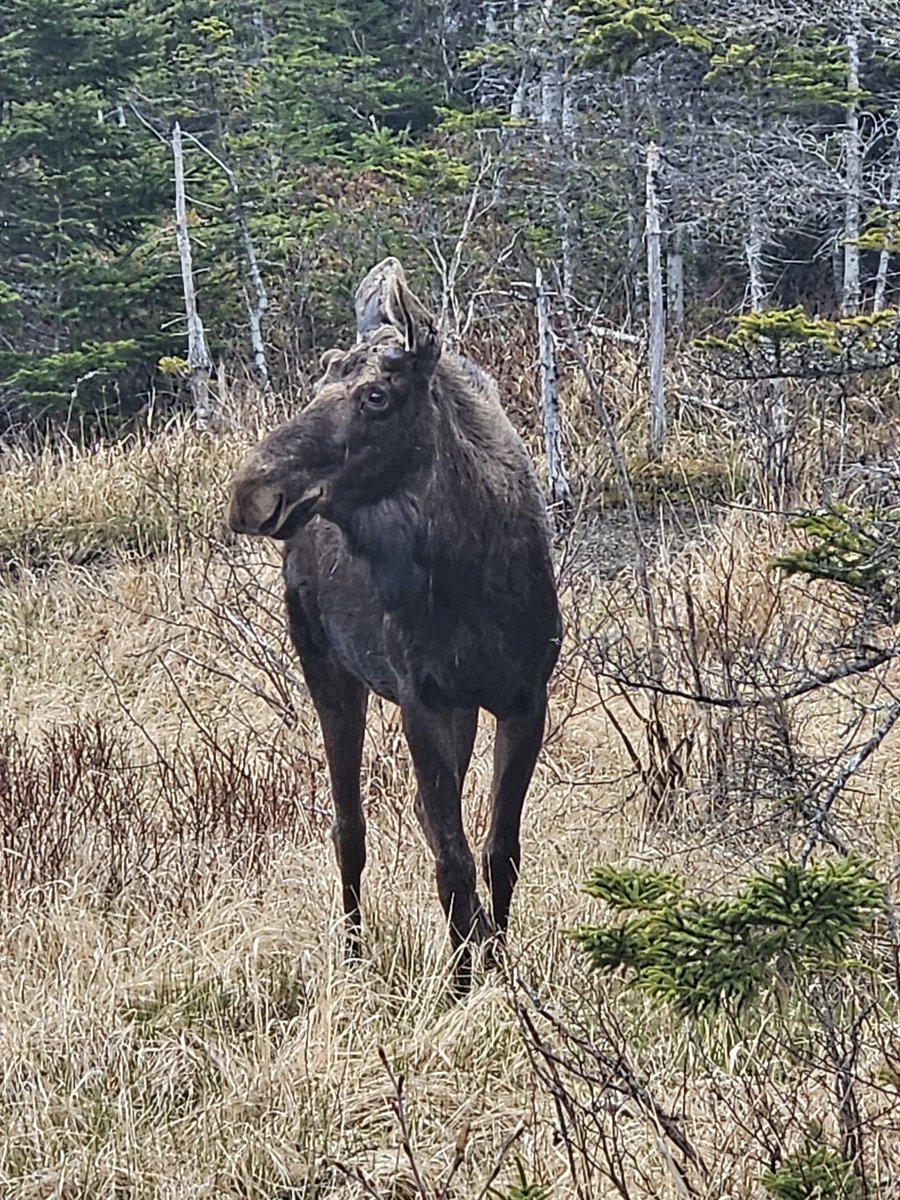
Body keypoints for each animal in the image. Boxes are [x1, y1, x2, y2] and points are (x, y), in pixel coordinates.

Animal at [228, 258, 561, 990]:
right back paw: (355, 956)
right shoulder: (421, 699)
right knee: (349, 828)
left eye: (377, 395)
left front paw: (500, 966)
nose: (250, 493)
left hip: (453, 707)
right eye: (318, 382)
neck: (472, 576)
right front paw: (464, 984)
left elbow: (499, 850)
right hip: (326, 667)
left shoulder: (525, 697)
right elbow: (452, 862)